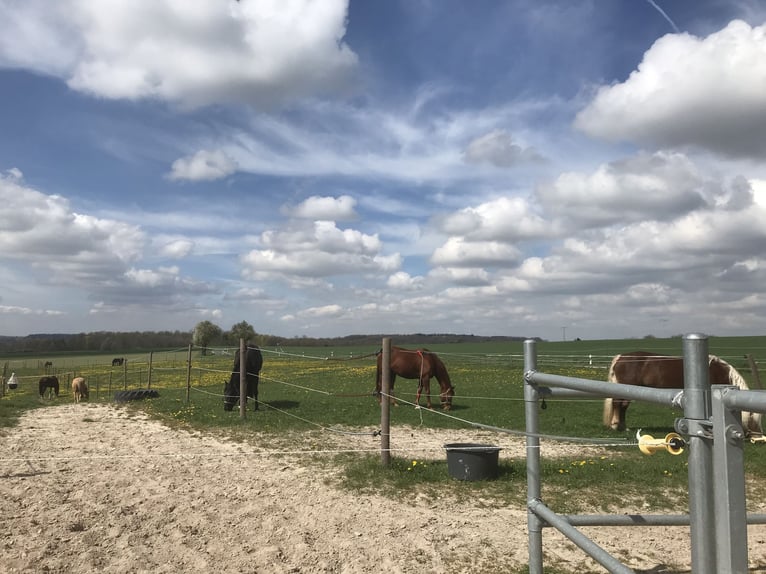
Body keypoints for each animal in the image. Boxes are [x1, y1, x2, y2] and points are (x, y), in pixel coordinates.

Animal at [608, 352, 760, 440]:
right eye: (754, 419)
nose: (758, 438)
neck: (717, 371)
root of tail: (620, 357)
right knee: (619, 404)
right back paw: (617, 426)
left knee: (622, 406)